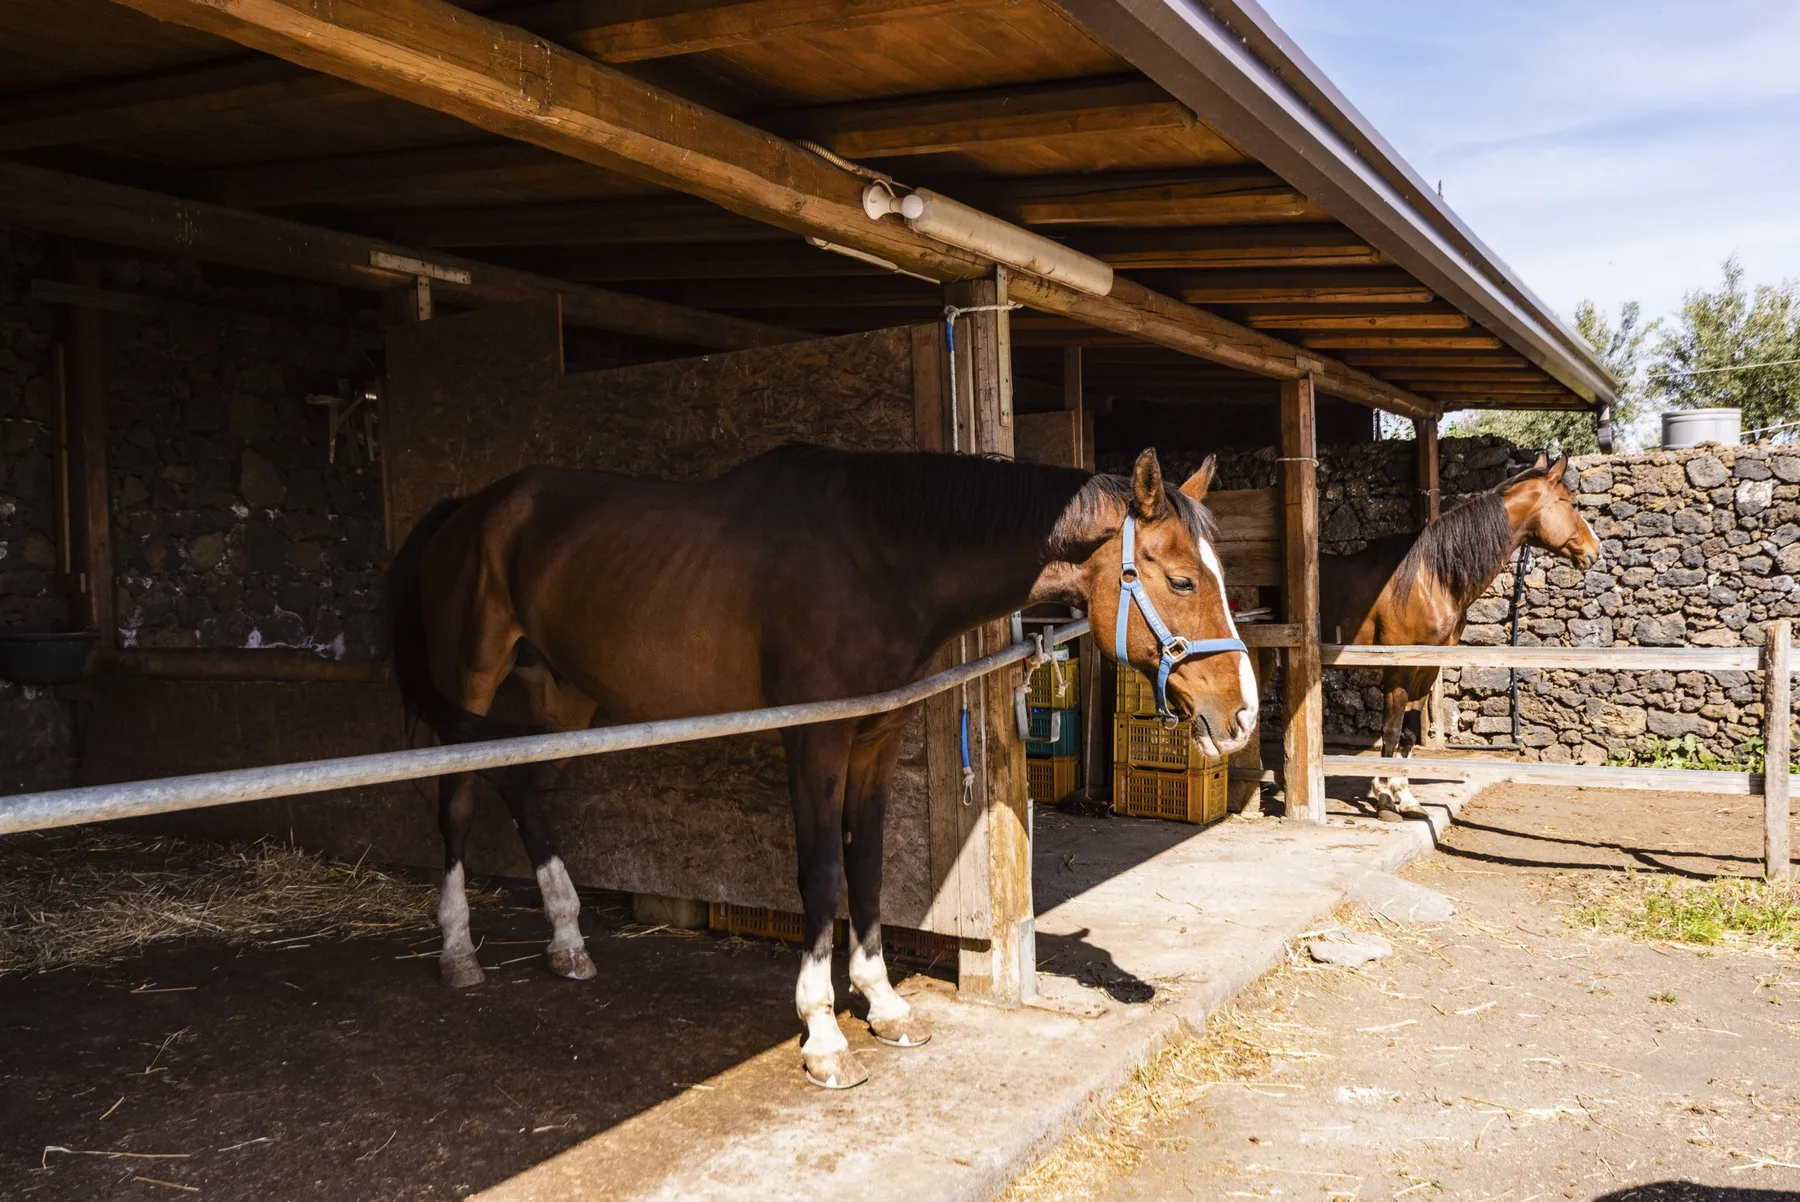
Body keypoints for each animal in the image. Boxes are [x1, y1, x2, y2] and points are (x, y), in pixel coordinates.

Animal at [385, 443, 1260, 1089]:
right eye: (1181, 578)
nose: (1242, 716)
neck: (878, 556)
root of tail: (470, 509)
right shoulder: (815, 741)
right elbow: (821, 876)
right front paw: (822, 1033)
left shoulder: (875, 740)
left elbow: (866, 865)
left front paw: (884, 1005)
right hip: (472, 681)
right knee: (455, 796)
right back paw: (458, 950)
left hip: (563, 689)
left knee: (524, 785)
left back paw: (568, 938)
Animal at [1318, 452, 1600, 820]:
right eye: (1571, 502)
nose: (1596, 549)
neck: (1428, 576)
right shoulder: (1398, 668)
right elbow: (1391, 730)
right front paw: (1384, 800)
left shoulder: (1427, 668)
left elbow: (1410, 732)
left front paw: (1405, 797)